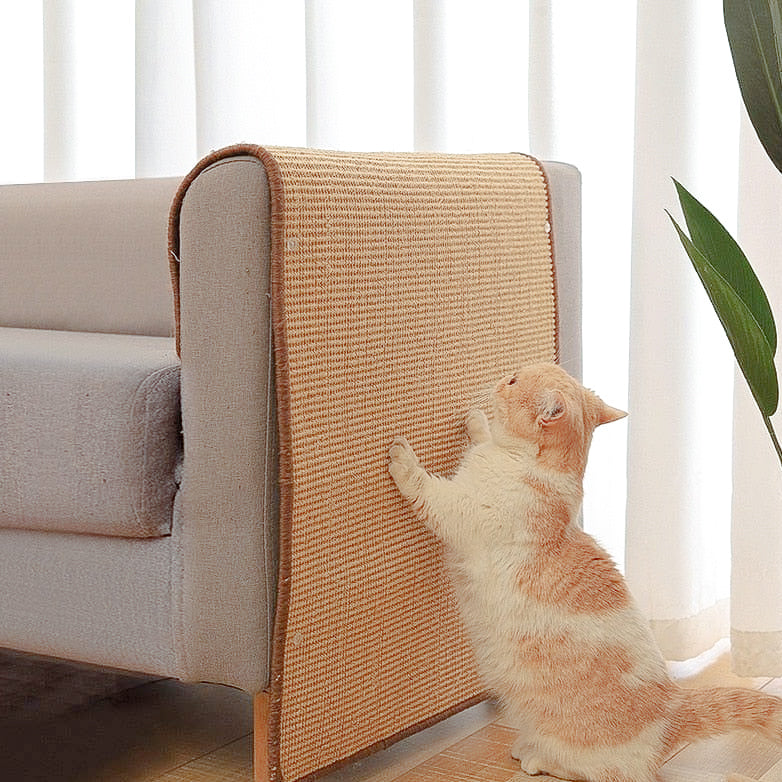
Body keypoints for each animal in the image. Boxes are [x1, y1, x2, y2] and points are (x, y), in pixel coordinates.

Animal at [388, 364, 782, 780]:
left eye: (513, 382)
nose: (502, 377)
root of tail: (671, 709)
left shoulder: (457, 509)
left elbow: (424, 487)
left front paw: (403, 457)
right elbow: (482, 438)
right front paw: (477, 422)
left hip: (584, 751)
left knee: (587, 768)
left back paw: (535, 755)